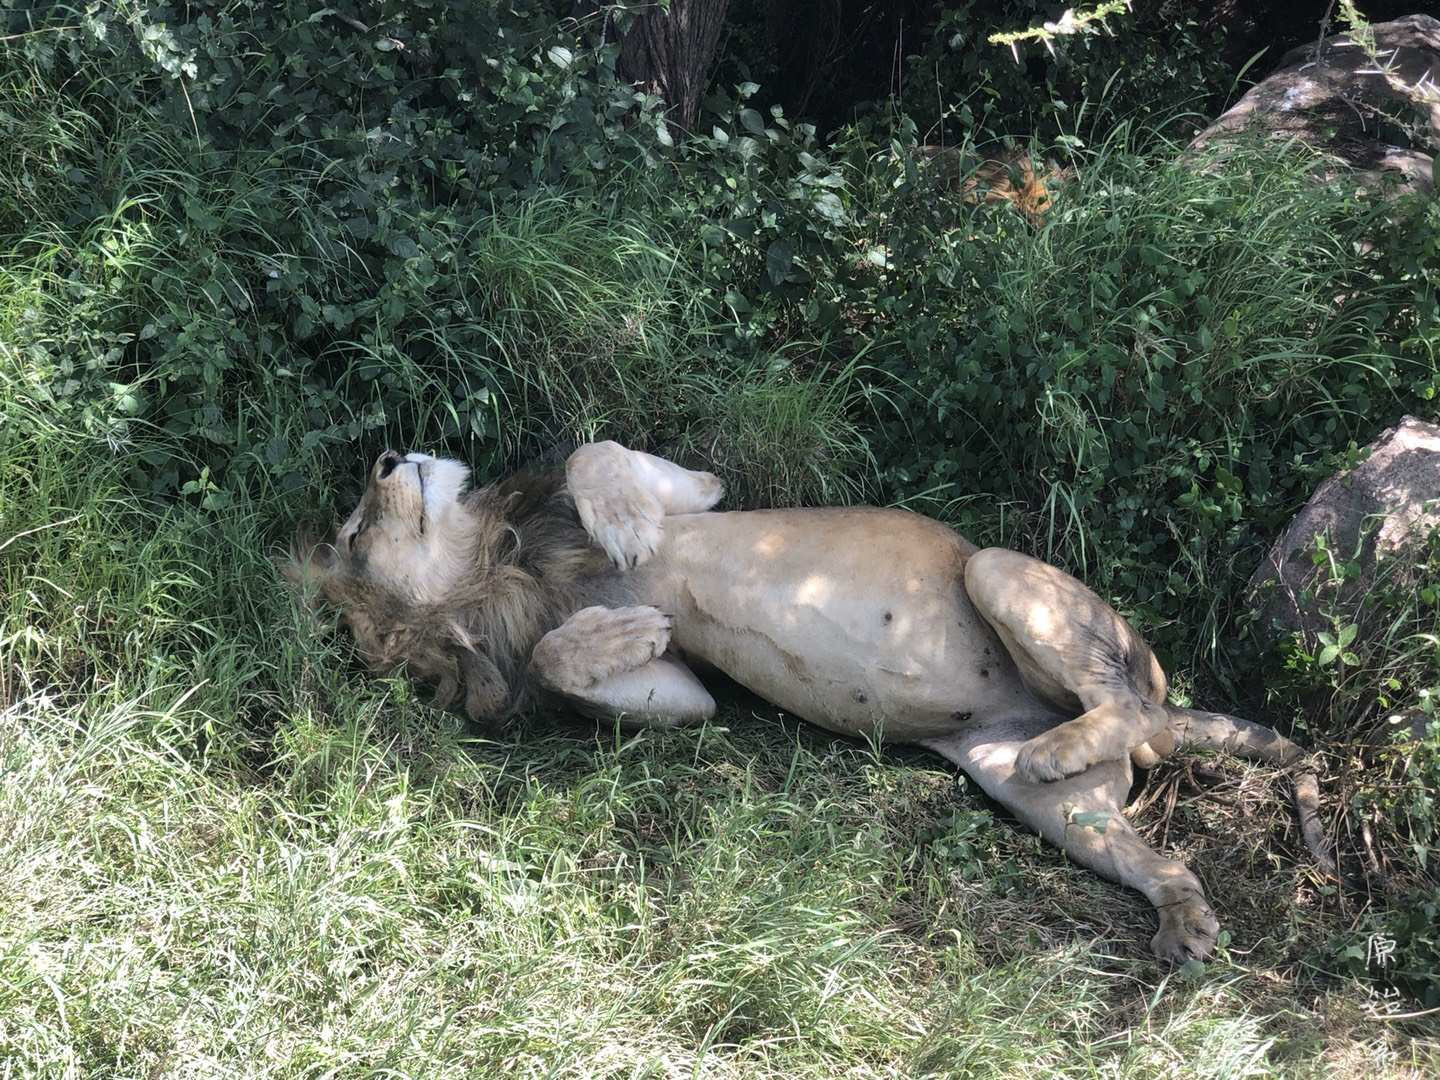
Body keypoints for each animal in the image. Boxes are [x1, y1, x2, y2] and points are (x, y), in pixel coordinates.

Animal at [286, 440, 1330, 961]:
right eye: (356, 526)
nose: (386, 454)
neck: (494, 563)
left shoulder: (692, 492)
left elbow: (598, 453)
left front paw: (621, 526)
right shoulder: (681, 693)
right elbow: (562, 662)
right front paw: (618, 635)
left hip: (1003, 573)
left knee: (1131, 706)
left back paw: (1080, 746)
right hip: (1031, 794)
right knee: (1146, 826)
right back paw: (1179, 914)